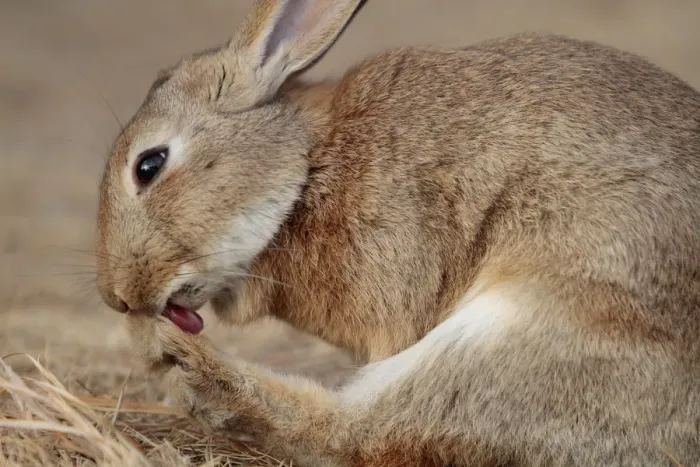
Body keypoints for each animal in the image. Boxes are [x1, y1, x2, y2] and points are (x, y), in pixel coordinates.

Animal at [95, 0, 700, 465]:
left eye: (149, 165)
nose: (116, 297)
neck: (307, 169)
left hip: (521, 331)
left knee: (354, 434)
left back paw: (183, 361)